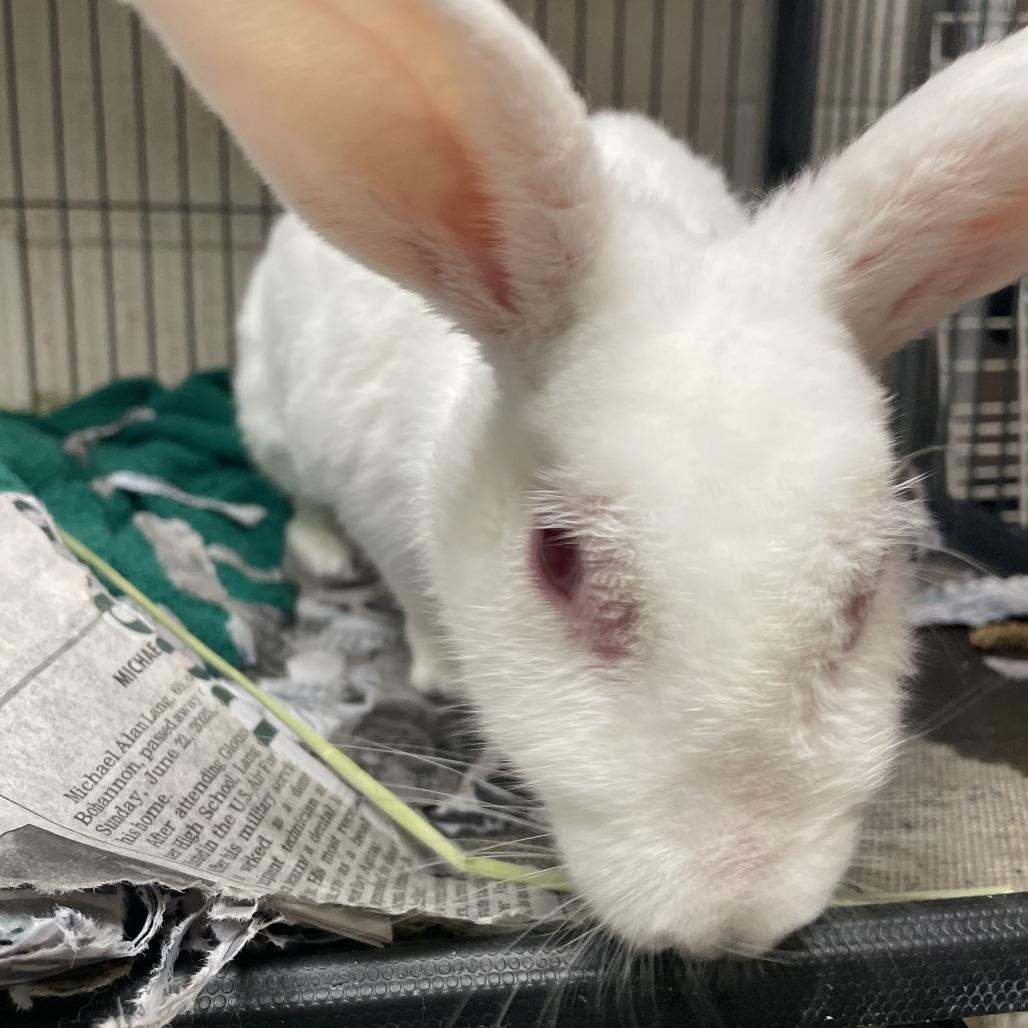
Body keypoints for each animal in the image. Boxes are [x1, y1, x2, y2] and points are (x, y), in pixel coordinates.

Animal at [128, 0, 1028, 958]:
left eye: (865, 594)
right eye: (558, 558)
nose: (729, 917)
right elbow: (418, 606)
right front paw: (440, 674)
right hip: (271, 416)